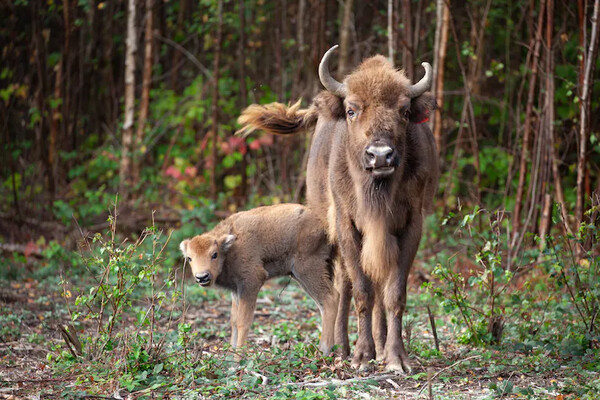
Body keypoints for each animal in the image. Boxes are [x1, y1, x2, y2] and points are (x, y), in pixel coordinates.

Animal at [179, 205, 338, 354]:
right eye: (189, 258)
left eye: (214, 254)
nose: (202, 277)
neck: (230, 248)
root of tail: (324, 225)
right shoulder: (236, 290)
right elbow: (234, 320)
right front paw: (231, 353)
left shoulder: (251, 282)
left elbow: (243, 321)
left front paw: (238, 357)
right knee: (324, 304)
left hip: (307, 271)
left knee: (330, 300)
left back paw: (323, 350)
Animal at [237, 44, 438, 372]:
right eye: (351, 110)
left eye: (405, 111)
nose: (380, 156)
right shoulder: (347, 226)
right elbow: (361, 291)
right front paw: (362, 356)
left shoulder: (410, 226)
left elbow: (394, 293)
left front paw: (395, 358)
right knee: (344, 287)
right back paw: (342, 348)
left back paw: (380, 347)